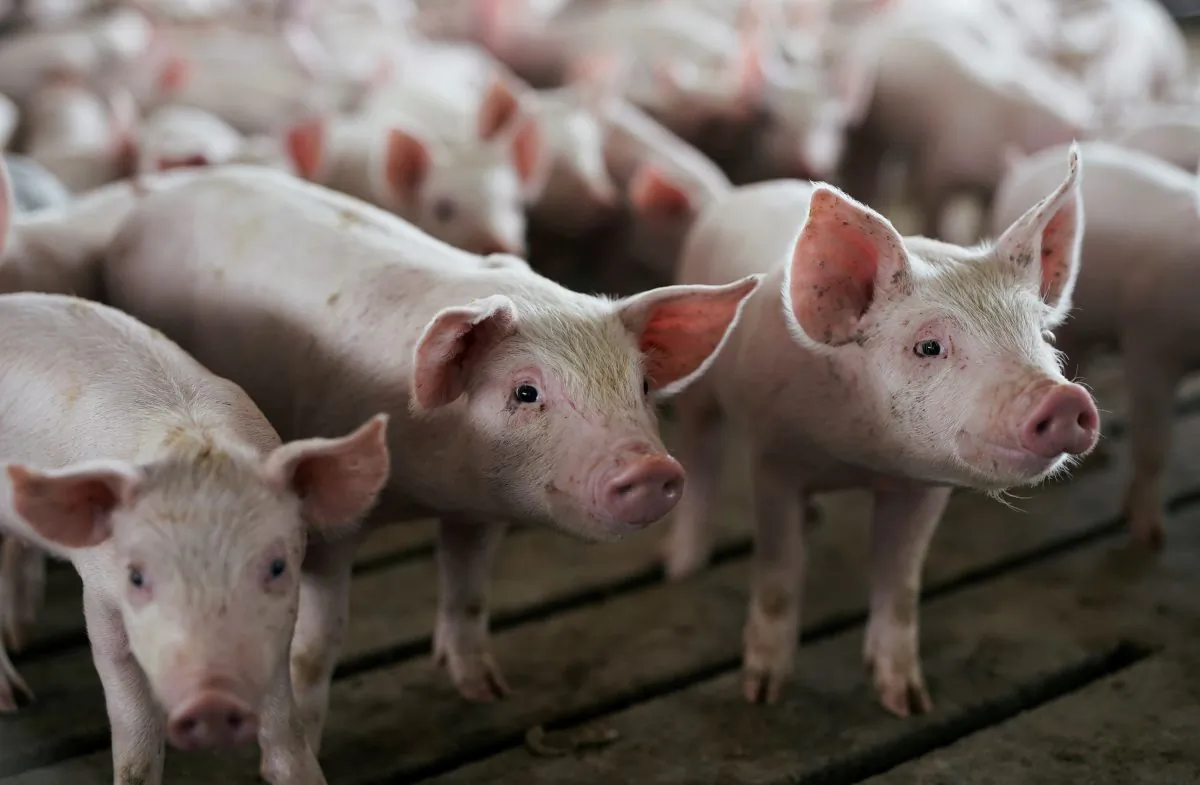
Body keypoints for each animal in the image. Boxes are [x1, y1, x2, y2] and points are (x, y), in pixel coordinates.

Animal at [0, 291, 389, 785]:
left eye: (276, 566)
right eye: (137, 577)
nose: (212, 703)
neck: (192, 443)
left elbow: (283, 715)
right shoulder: (99, 596)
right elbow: (134, 723)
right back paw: (14, 701)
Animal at [100, 164, 760, 750]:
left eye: (643, 386)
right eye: (526, 392)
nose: (651, 470)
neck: (428, 487)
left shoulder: (480, 513)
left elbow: (468, 589)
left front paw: (487, 691)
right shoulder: (329, 524)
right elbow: (318, 646)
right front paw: (310, 736)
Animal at [662, 145, 1099, 716]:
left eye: (1045, 336)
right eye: (928, 347)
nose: (1065, 399)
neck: (859, 460)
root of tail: (732, 195)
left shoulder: (925, 488)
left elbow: (902, 582)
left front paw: (909, 702)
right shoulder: (775, 460)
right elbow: (780, 573)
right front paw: (763, 694)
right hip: (700, 389)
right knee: (701, 451)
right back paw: (681, 567)